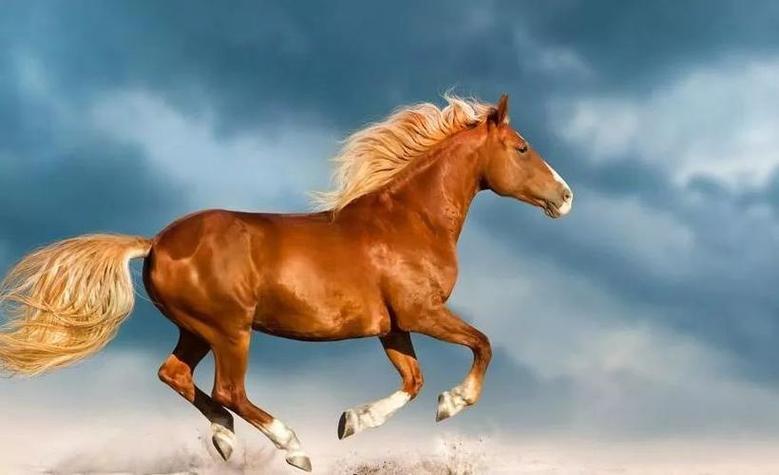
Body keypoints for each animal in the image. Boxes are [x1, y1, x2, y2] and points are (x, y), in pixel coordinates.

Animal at [0, 94, 572, 472]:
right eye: (521, 148)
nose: (565, 197)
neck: (410, 221)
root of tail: (157, 242)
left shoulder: (392, 327)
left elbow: (413, 381)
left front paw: (351, 421)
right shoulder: (421, 313)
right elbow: (482, 345)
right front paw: (452, 404)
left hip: (197, 329)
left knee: (175, 375)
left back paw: (225, 440)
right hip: (230, 329)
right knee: (228, 389)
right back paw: (292, 446)